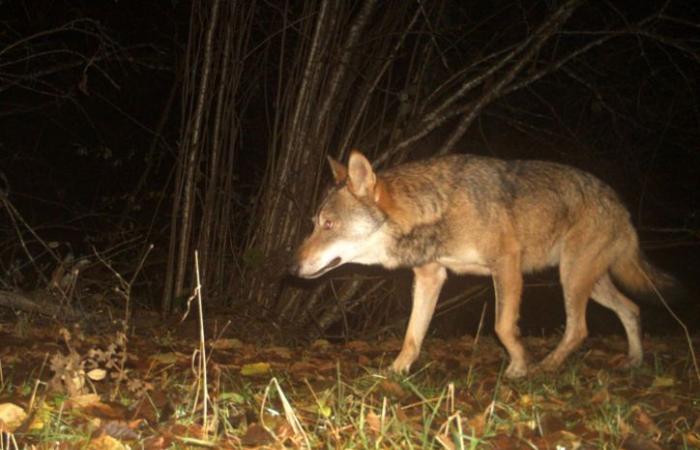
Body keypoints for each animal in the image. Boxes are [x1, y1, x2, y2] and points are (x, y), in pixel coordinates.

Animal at [288, 150, 672, 376]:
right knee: (632, 309)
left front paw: (519, 367)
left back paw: (547, 366)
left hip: (572, 278)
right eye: (313, 223)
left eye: (328, 225)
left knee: (579, 329)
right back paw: (635, 361)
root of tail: (620, 204)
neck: (439, 209)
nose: (291, 269)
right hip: (586, 281)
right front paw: (396, 371)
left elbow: (502, 327)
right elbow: (412, 335)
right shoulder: (430, 276)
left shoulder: (507, 265)